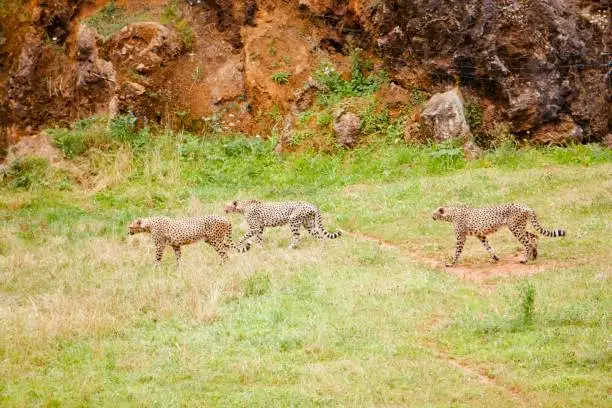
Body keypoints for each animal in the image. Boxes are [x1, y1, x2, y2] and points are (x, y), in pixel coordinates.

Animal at [432, 202, 568, 266]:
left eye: (434, 213)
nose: (431, 217)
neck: (451, 214)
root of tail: (526, 206)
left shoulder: (461, 237)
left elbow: (457, 251)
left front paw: (451, 263)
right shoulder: (480, 235)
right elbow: (488, 247)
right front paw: (495, 258)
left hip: (515, 228)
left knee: (527, 243)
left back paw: (525, 259)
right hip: (519, 227)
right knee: (534, 236)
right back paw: (534, 255)